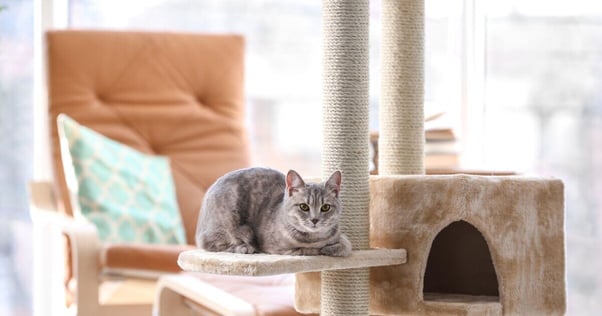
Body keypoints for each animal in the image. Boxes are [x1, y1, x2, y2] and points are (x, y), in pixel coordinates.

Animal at [192, 167, 352, 256]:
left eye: (325, 207)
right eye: (304, 207)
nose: (314, 220)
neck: (316, 238)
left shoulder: (340, 236)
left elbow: (346, 245)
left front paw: (334, 248)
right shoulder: (275, 248)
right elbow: (305, 250)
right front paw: (322, 249)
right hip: (229, 224)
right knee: (210, 244)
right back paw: (244, 247)